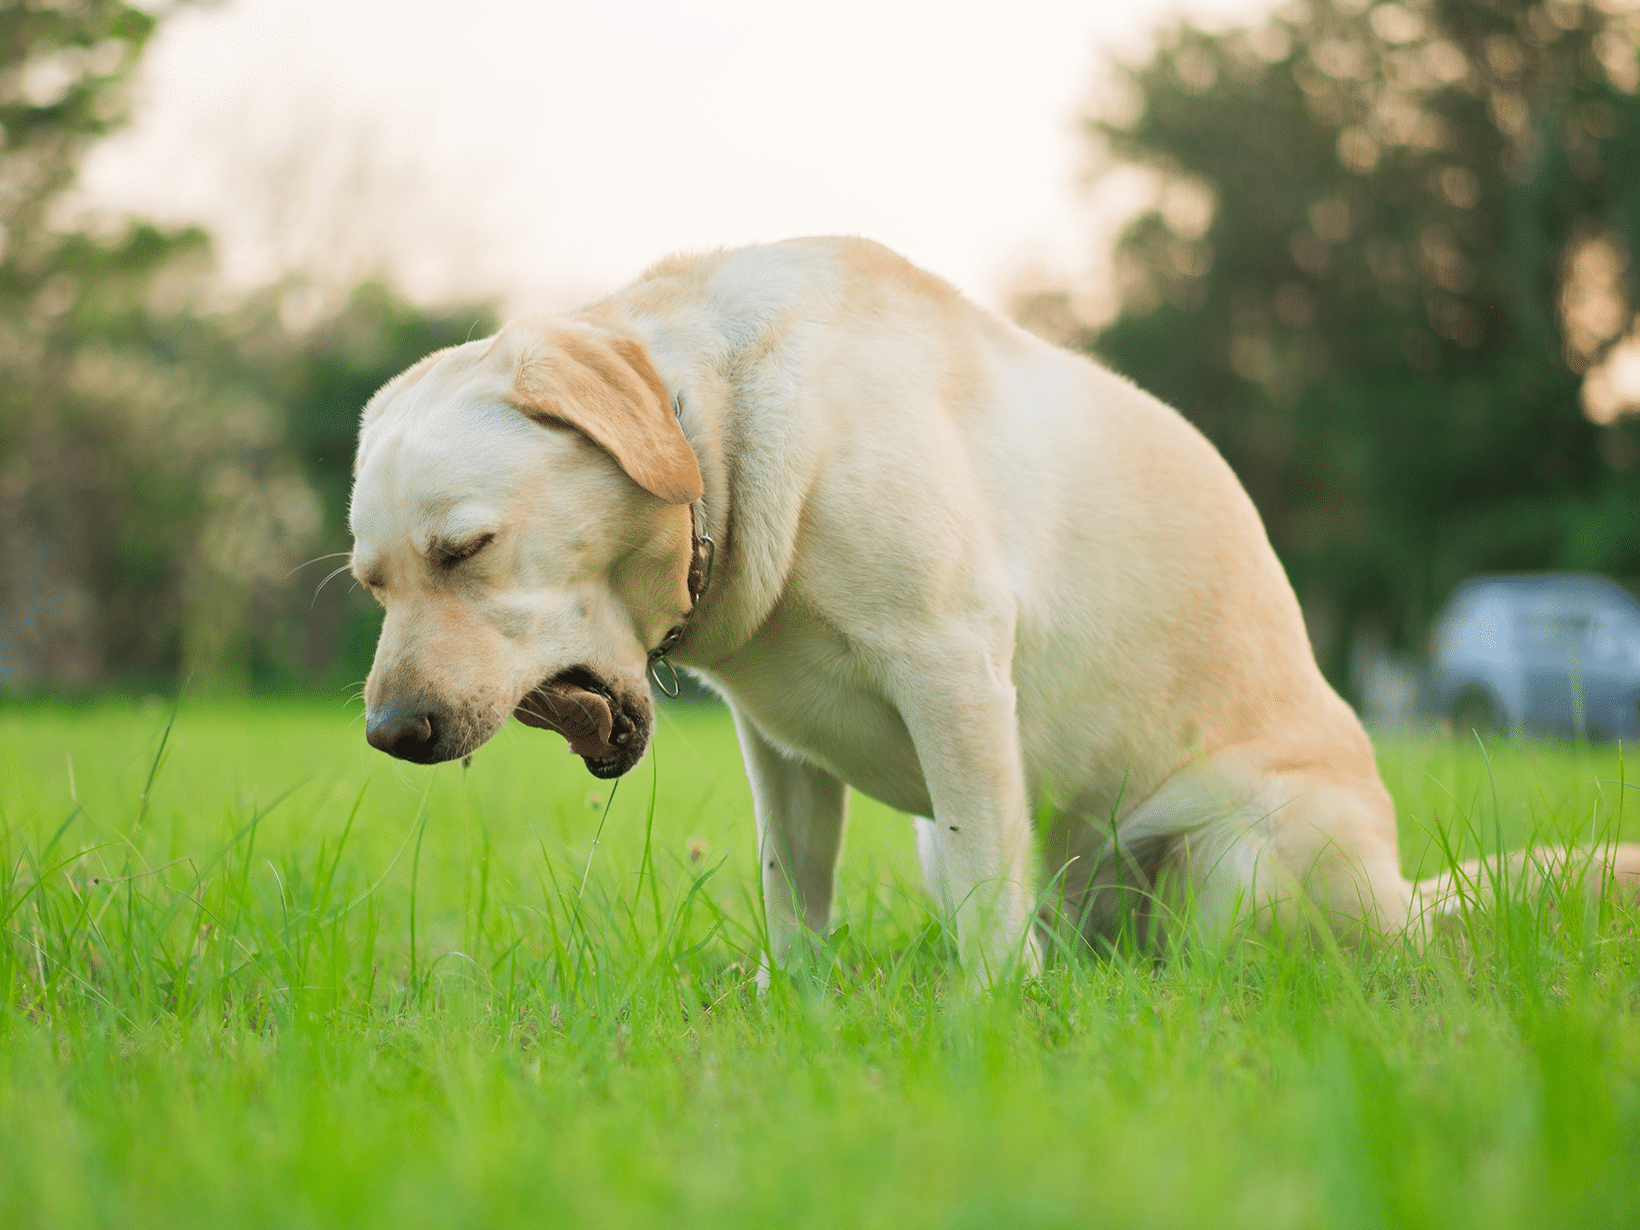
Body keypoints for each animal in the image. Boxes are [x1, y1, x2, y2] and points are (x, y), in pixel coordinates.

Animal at [349, 236, 1640, 977]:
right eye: (372, 580)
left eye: (466, 550)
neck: (716, 425)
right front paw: (794, 1006)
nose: (391, 734)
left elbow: (982, 902)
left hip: (1242, 859)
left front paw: (982, 1024)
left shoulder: (951, 672)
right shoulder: (779, 749)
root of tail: (1405, 906)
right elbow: (793, 891)